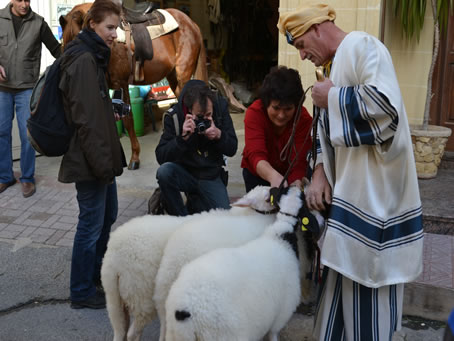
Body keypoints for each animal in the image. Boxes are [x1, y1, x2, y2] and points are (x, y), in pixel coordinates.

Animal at [59, 3, 208, 169]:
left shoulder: (121, 83)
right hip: (172, 76)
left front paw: (135, 157)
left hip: (183, 73)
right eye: (65, 45)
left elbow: (128, 120)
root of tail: (192, 23)